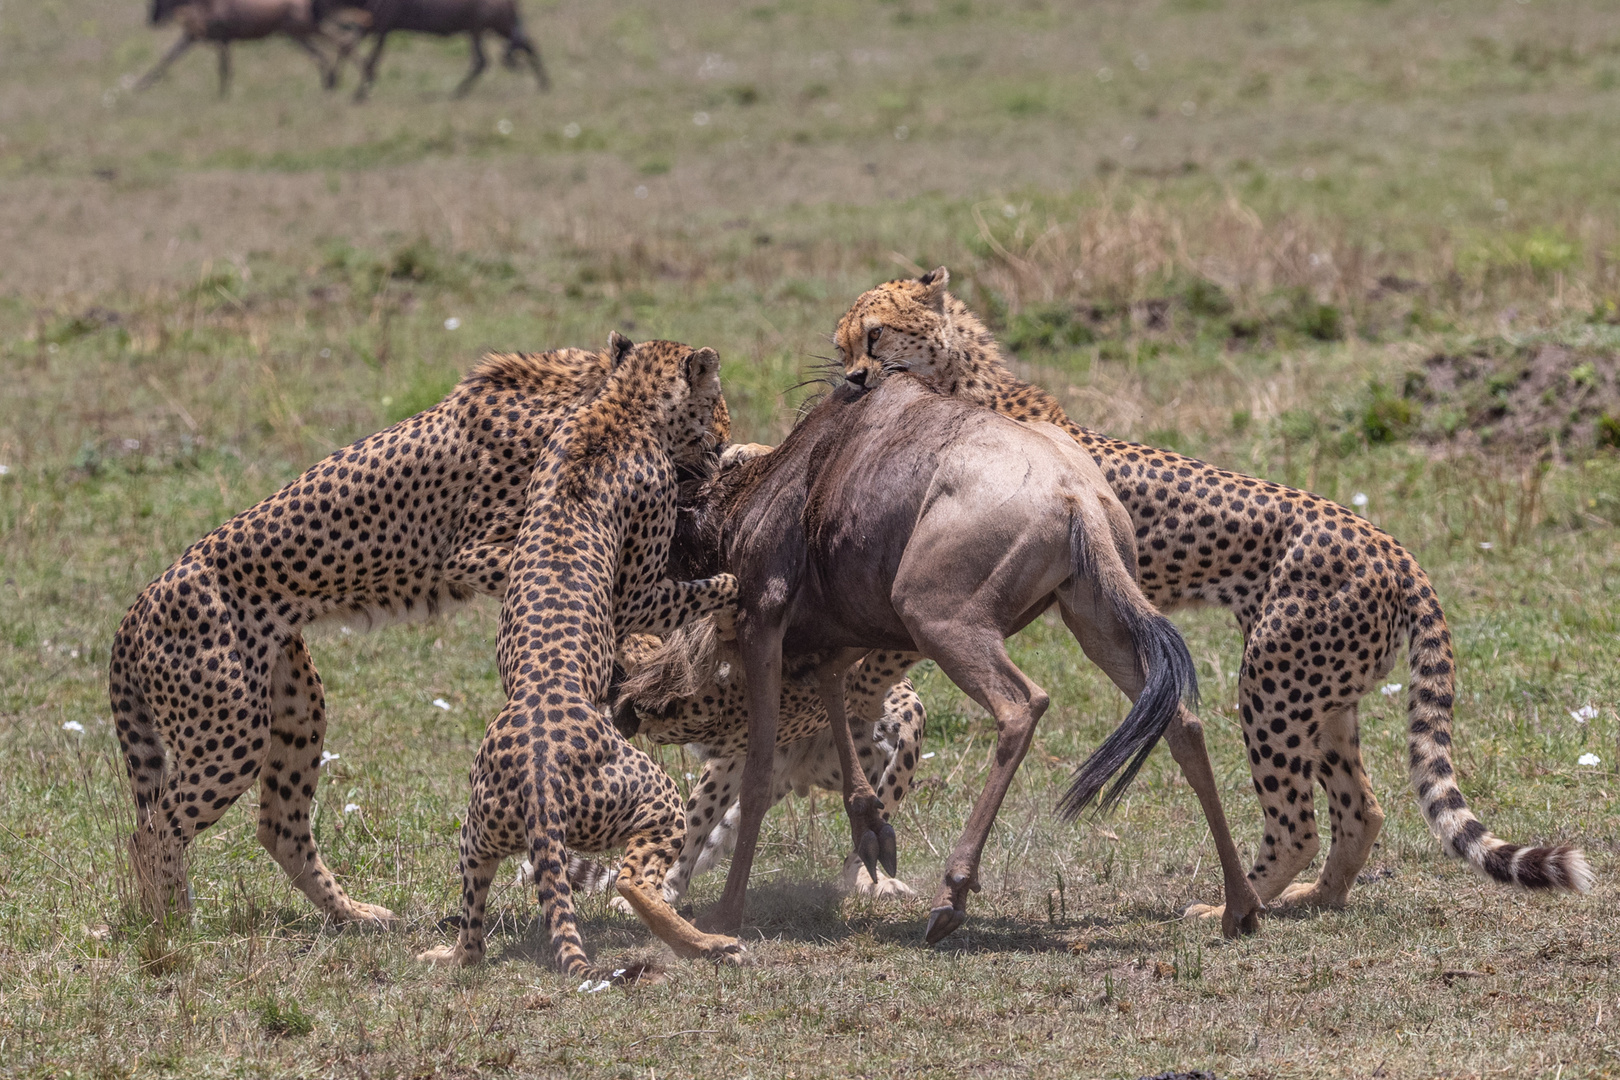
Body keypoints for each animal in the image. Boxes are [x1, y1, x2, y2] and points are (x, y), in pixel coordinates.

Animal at [104, 341, 638, 926]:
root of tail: (138, 604)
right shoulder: (473, 551)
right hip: (231, 736)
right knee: (153, 830)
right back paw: (172, 924)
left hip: (298, 710)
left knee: (278, 826)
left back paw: (354, 915)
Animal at [417, 335, 745, 971]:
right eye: (717, 399)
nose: (726, 434)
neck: (623, 405)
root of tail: (539, 780)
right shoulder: (640, 591)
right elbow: (706, 588)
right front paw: (730, 594)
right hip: (653, 794)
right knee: (633, 880)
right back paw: (711, 943)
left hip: (476, 831)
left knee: (474, 929)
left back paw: (448, 955)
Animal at [835, 265, 1594, 926]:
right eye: (841, 344)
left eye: (874, 335)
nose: (851, 379)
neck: (955, 381)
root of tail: (1390, 544)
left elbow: (879, 655)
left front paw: (861, 710)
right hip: (1327, 696)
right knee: (1362, 808)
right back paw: (1315, 899)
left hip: (1273, 683)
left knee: (1297, 821)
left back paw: (1234, 905)